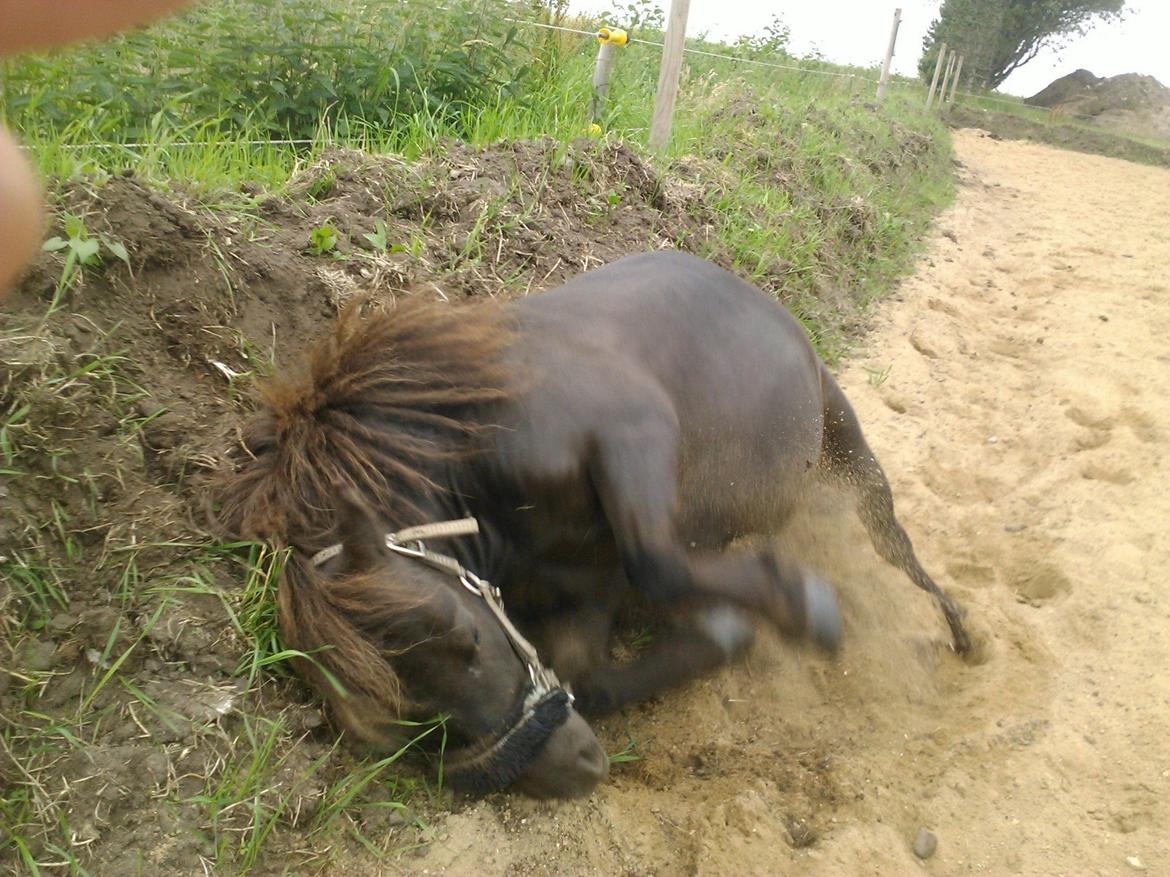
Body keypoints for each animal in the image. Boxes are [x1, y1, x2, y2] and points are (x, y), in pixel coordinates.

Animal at [215, 250, 973, 799]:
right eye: (405, 718)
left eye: (462, 637)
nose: (569, 769)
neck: (483, 467)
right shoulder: (583, 587)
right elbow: (593, 674)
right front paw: (722, 632)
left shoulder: (633, 435)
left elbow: (658, 561)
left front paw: (803, 606)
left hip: (844, 443)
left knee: (892, 541)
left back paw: (961, 629)